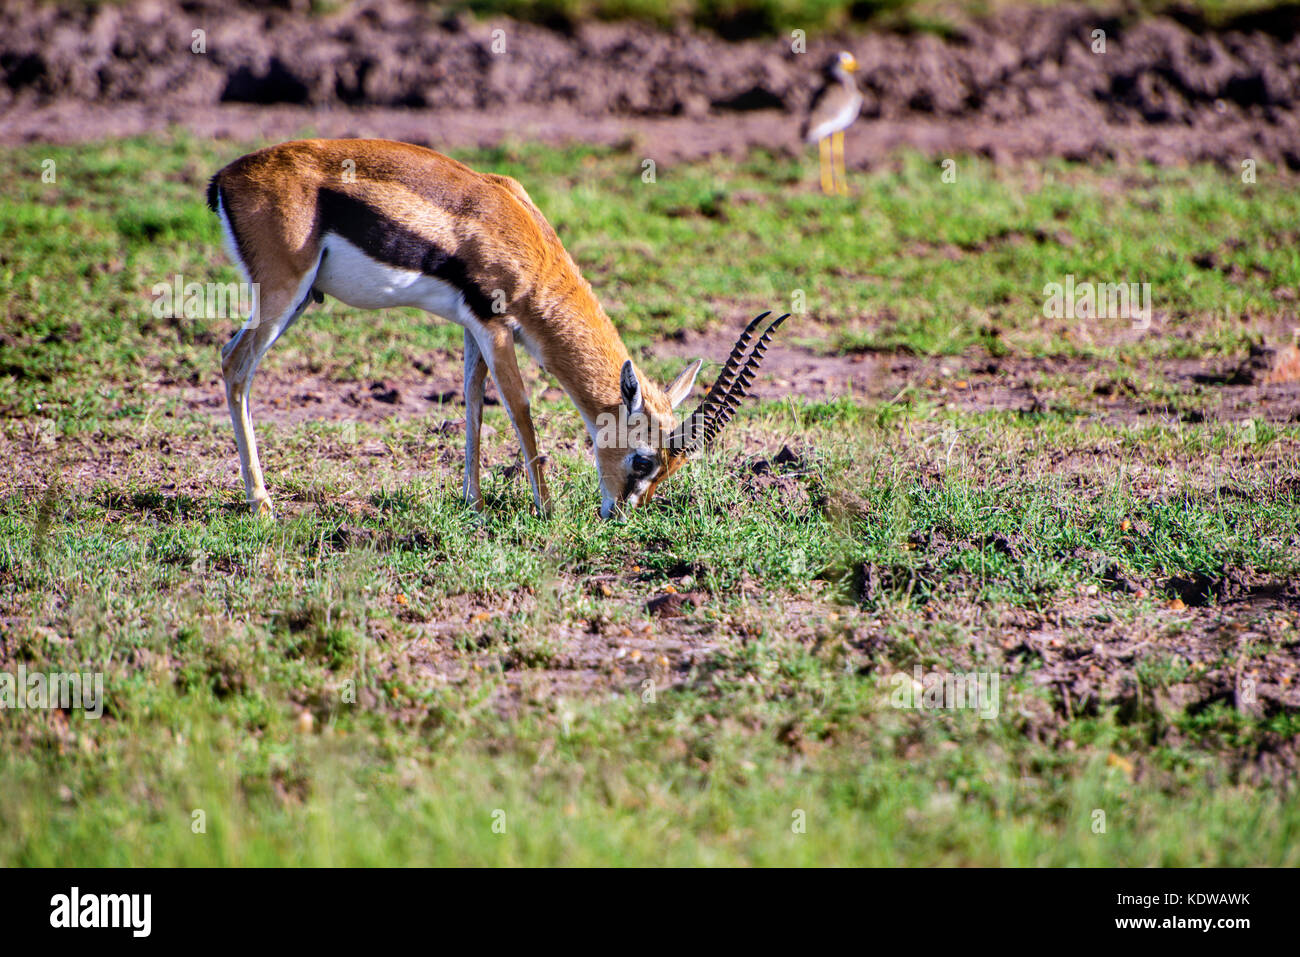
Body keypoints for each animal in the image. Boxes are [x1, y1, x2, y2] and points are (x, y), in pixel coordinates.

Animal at [207, 138, 787, 519]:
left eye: (669, 469)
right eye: (643, 458)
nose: (619, 514)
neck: (524, 241)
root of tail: (226, 178)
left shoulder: (472, 326)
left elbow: (472, 400)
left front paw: (475, 502)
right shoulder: (497, 324)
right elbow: (520, 408)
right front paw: (546, 509)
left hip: (301, 299)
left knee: (235, 360)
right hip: (283, 291)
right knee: (235, 363)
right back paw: (261, 503)